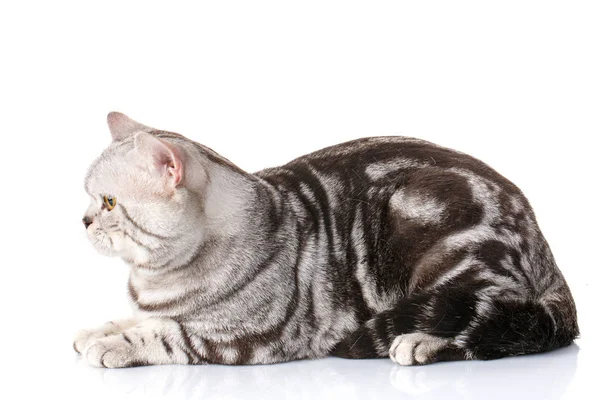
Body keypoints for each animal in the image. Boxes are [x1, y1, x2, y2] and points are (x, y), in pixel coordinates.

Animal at [75, 111, 576, 368]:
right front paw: (100, 329)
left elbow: (164, 334)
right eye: (93, 199)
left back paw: (420, 341)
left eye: (108, 202)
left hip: (440, 238)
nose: (82, 220)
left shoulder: (247, 337)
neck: (155, 278)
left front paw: (116, 344)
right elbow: (133, 317)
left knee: (503, 321)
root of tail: (545, 251)